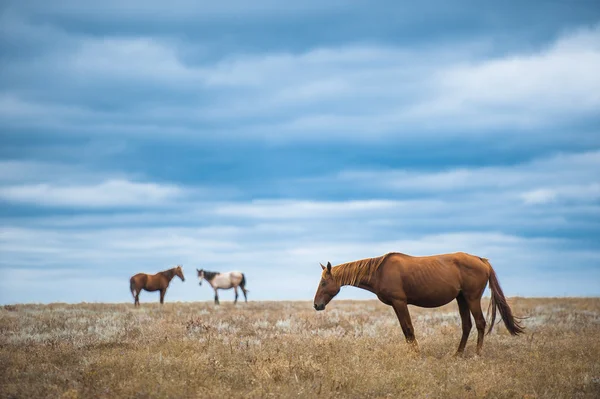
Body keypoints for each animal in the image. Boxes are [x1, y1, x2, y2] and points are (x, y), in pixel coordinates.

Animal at [312, 253, 524, 356]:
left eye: (323, 283)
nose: (316, 305)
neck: (379, 271)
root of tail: (482, 261)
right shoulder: (396, 305)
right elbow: (405, 330)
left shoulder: (400, 302)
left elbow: (408, 328)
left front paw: (416, 355)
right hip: (461, 299)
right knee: (467, 325)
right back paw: (457, 354)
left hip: (472, 298)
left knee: (480, 323)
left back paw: (477, 354)